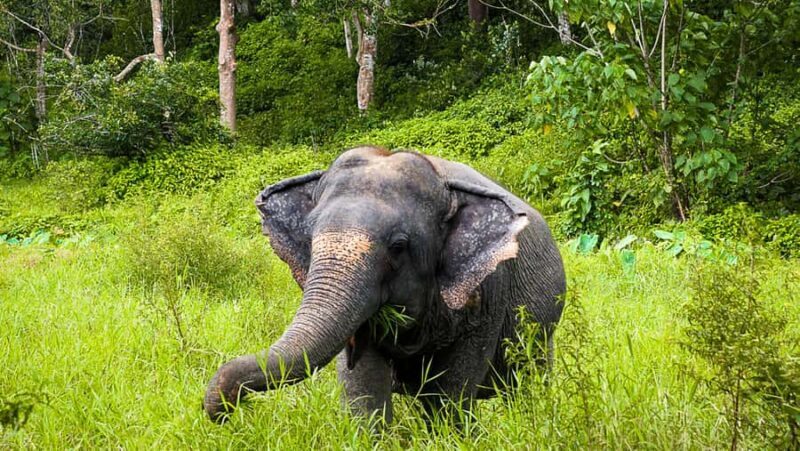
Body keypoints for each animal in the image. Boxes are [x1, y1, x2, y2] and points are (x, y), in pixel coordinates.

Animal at [203, 146, 566, 423]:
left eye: (398, 246)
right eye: (309, 237)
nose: (228, 411)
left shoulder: (489, 291)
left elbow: (450, 391)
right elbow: (363, 387)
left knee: (528, 381)